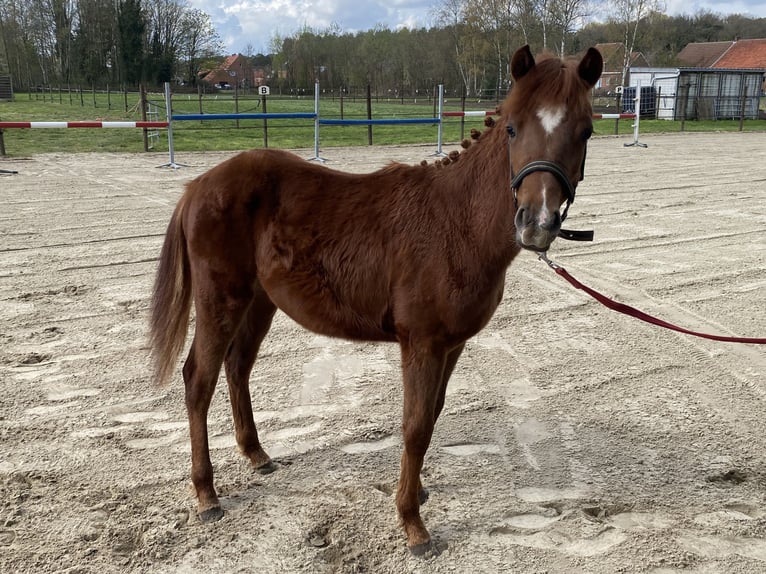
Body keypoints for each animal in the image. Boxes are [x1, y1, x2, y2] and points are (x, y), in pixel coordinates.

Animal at [150, 45, 602, 554]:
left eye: (585, 131)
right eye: (511, 128)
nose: (536, 223)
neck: (456, 222)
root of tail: (197, 188)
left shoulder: (452, 345)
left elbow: (432, 415)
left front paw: (417, 491)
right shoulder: (421, 343)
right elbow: (416, 426)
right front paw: (412, 522)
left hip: (258, 302)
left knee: (237, 367)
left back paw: (256, 454)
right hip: (220, 301)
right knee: (198, 381)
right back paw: (207, 493)